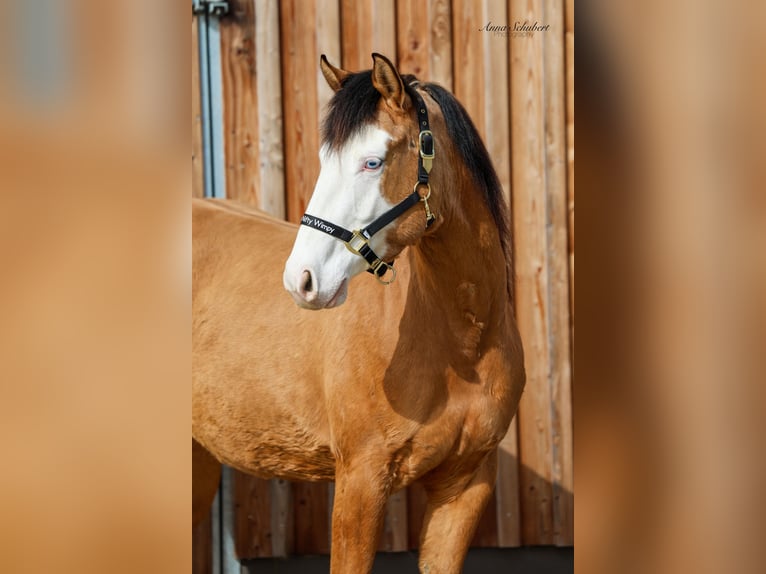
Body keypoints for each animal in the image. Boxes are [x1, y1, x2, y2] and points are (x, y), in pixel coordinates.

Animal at [192, 53, 526, 574]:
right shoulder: (361, 480)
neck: (461, 345)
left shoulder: (466, 483)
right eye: (324, 160)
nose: (301, 280)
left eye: (373, 162)